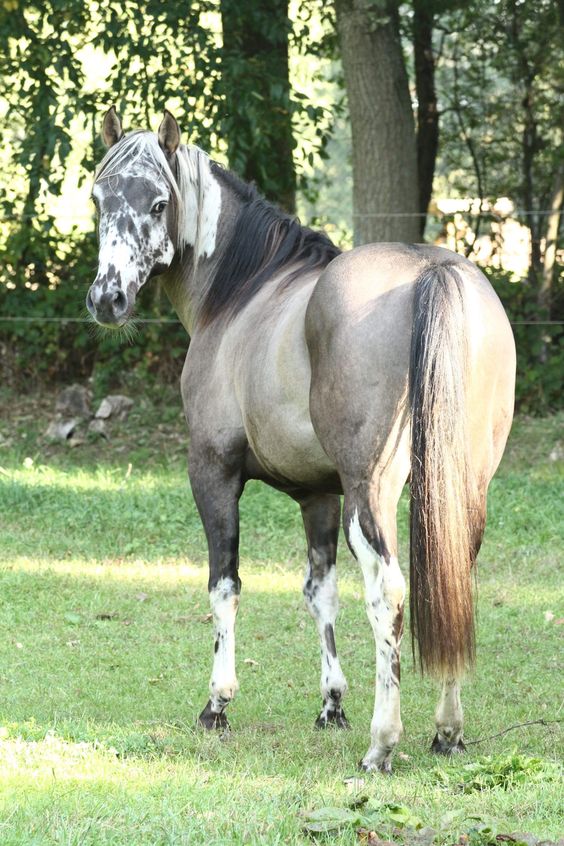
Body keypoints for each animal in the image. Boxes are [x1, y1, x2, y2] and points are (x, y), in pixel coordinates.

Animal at [85, 107, 516, 776]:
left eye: (158, 202)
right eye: (99, 198)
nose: (108, 299)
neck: (242, 293)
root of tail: (433, 271)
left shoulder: (213, 473)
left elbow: (226, 586)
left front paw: (217, 704)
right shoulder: (319, 495)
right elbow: (321, 593)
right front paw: (331, 705)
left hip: (373, 496)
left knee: (389, 592)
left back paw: (382, 744)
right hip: (461, 489)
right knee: (452, 579)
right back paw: (447, 731)